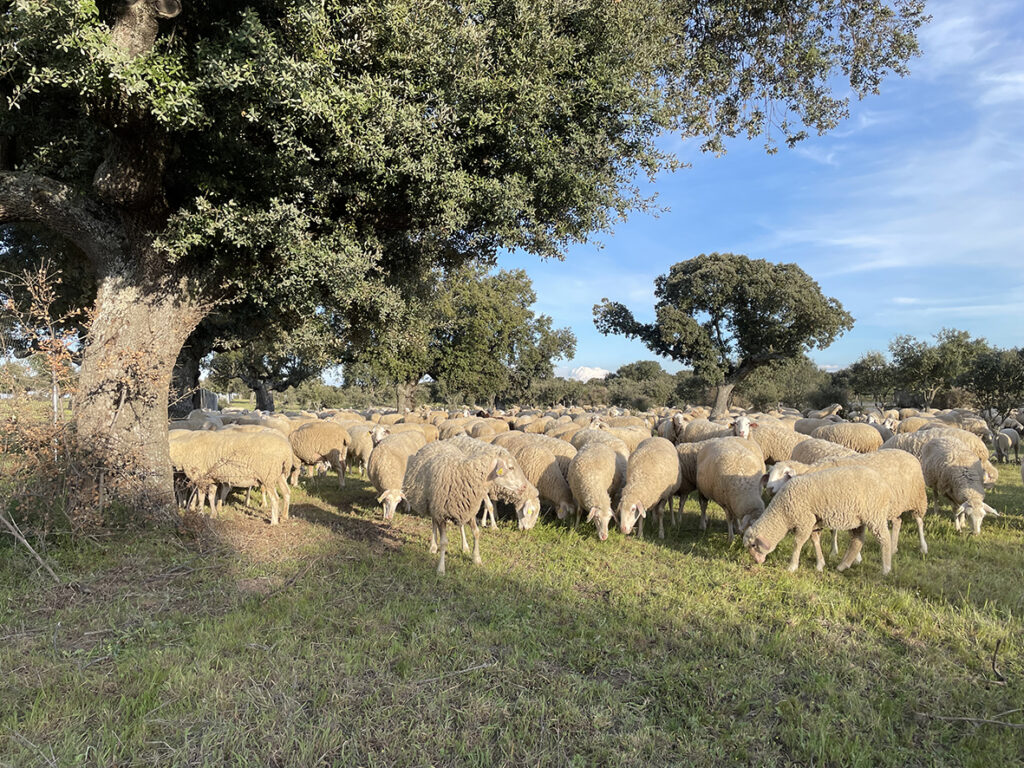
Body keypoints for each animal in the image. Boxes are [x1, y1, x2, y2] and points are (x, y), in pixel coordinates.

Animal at [745, 462, 897, 577]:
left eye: (753, 545)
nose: (757, 562)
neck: (782, 513)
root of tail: (885, 485)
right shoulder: (813, 523)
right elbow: (815, 541)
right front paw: (820, 564)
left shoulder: (805, 521)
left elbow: (798, 543)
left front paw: (792, 566)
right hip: (858, 519)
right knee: (857, 541)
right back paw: (843, 566)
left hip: (875, 515)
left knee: (884, 538)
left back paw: (886, 569)